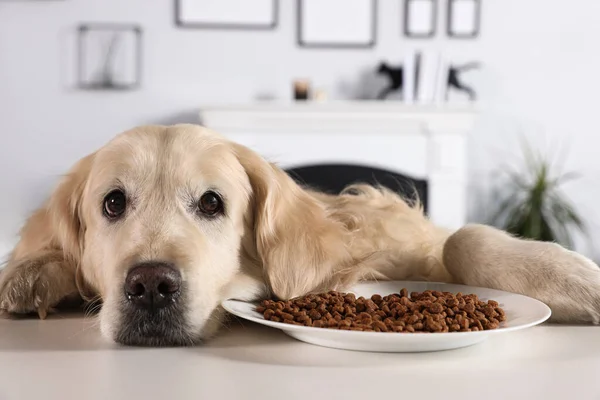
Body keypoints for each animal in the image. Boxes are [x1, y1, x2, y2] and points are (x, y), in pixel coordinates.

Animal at [1, 123, 600, 346]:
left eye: (213, 203)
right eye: (113, 203)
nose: (150, 286)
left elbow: (461, 238)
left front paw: (576, 279)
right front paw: (32, 271)